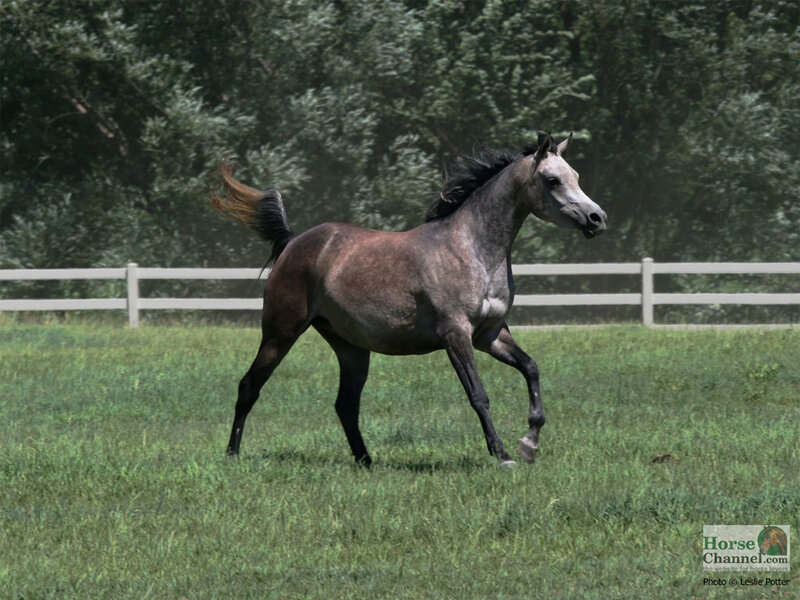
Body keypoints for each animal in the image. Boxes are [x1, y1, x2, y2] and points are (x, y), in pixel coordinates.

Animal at [211, 132, 606, 467]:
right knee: (249, 387)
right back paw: (232, 456)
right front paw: (504, 455)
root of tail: (294, 242)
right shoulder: (456, 335)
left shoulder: (491, 334)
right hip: (281, 332)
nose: (596, 218)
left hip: (351, 348)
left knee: (345, 405)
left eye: (575, 175)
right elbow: (479, 395)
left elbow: (531, 368)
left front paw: (529, 444)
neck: (472, 250)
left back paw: (366, 461)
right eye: (552, 180)